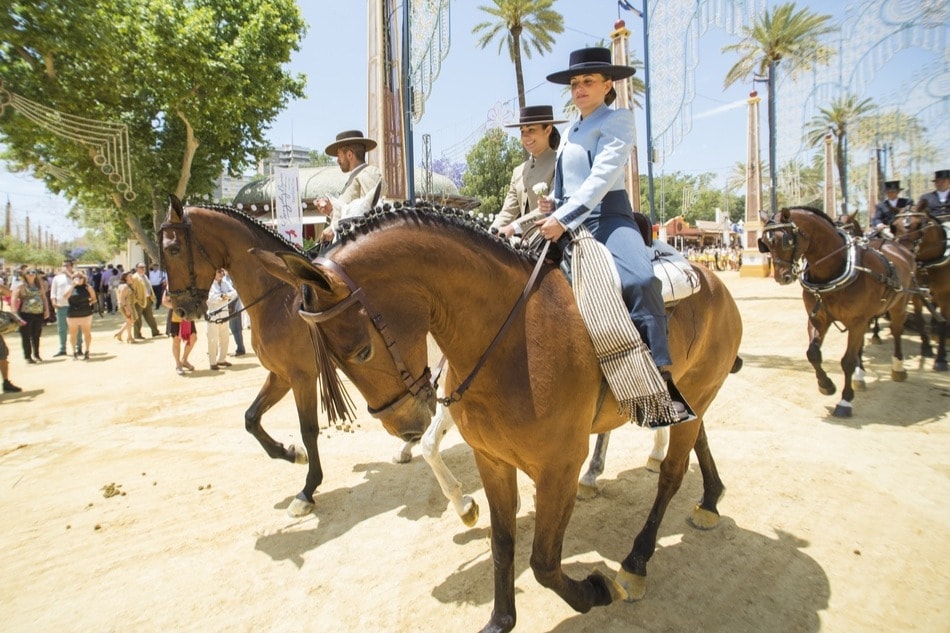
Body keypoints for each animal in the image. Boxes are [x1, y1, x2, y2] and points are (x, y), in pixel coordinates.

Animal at [253, 204, 744, 632]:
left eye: (361, 351)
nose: (406, 425)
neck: (513, 336)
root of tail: (713, 281)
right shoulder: (491, 460)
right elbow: (502, 543)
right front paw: (500, 619)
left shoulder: (559, 467)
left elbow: (543, 562)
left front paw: (596, 590)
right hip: (692, 400)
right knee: (696, 441)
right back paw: (710, 498)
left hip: (693, 395)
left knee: (671, 476)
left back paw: (638, 560)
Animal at [756, 205, 920, 418]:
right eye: (765, 243)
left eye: (786, 240)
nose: (782, 277)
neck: (833, 270)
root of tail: (897, 247)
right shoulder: (818, 318)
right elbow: (813, 353)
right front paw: (826, 385)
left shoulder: (858, 321)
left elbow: (847, 361)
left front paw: (845, 400)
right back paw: (860, 375)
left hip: (899, 304)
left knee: (897, 331)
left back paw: (898, 367)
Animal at [892, 200, 950, 370]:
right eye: (894, 226)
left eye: (920, 224)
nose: (903, 252)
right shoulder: (915, 292)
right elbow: (920, 319)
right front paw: (926, 347)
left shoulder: (946, 294)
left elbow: (944, 323)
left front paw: (941, 358)